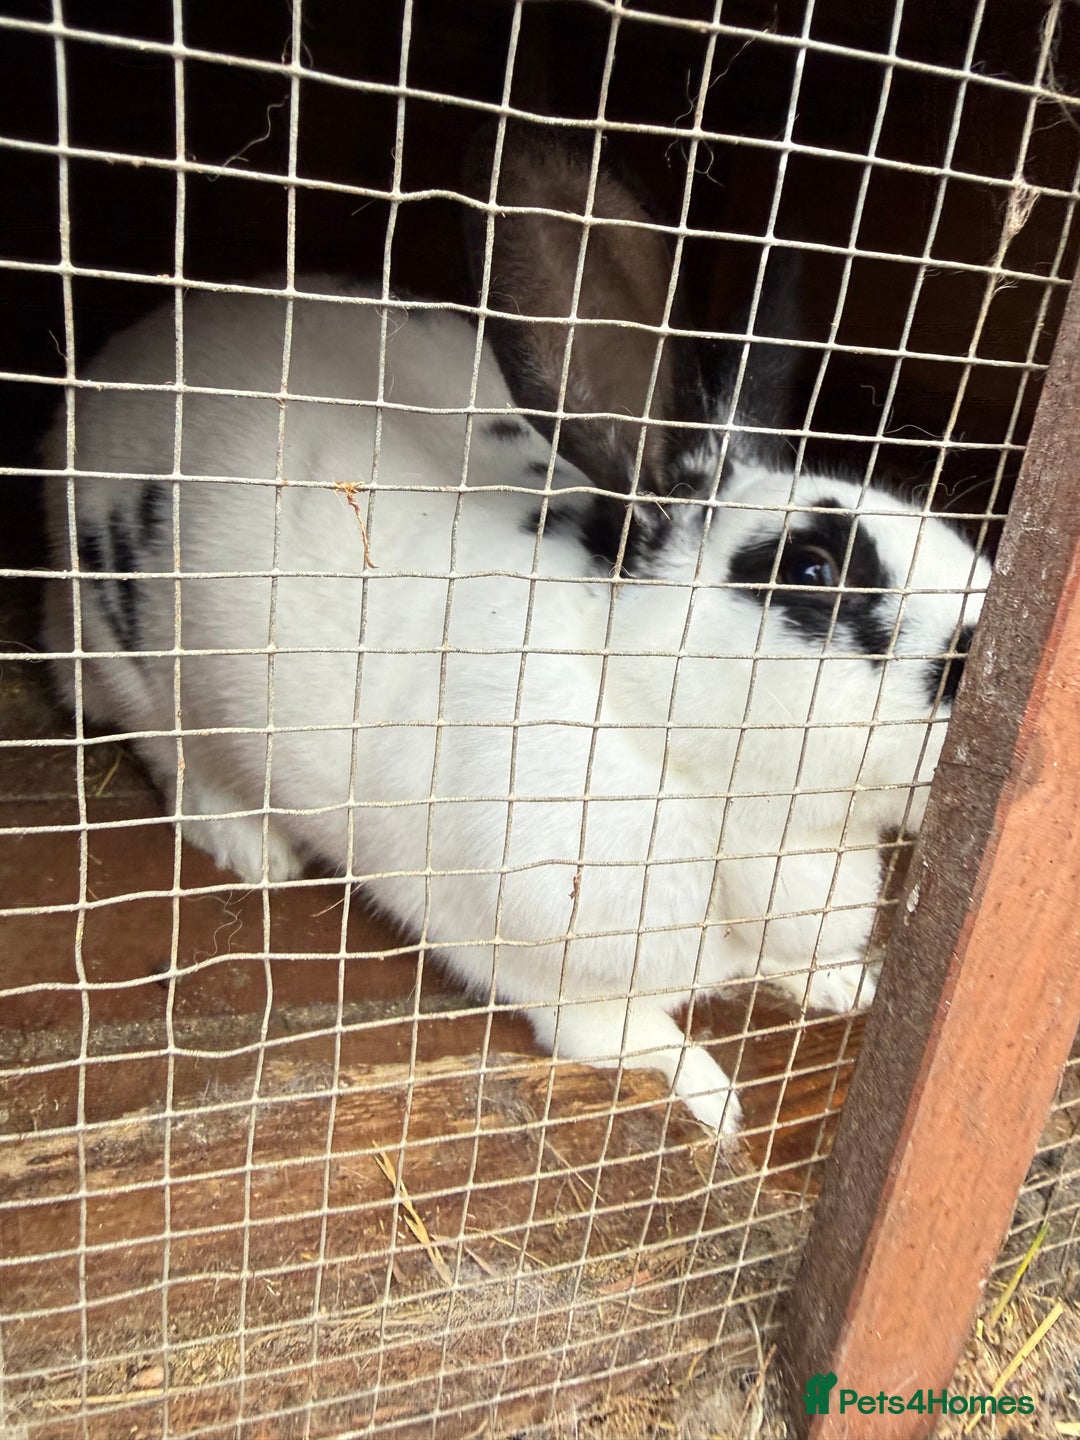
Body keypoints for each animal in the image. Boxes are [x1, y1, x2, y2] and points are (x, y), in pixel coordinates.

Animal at [41, 142, 991, 1137]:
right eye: (810, 570)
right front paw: (713, 1097)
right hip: (126, 667)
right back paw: (254, 849)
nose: (977, 660)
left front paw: (850, 983)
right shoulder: (550, 961)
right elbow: (623, 1037)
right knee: (167, 754)